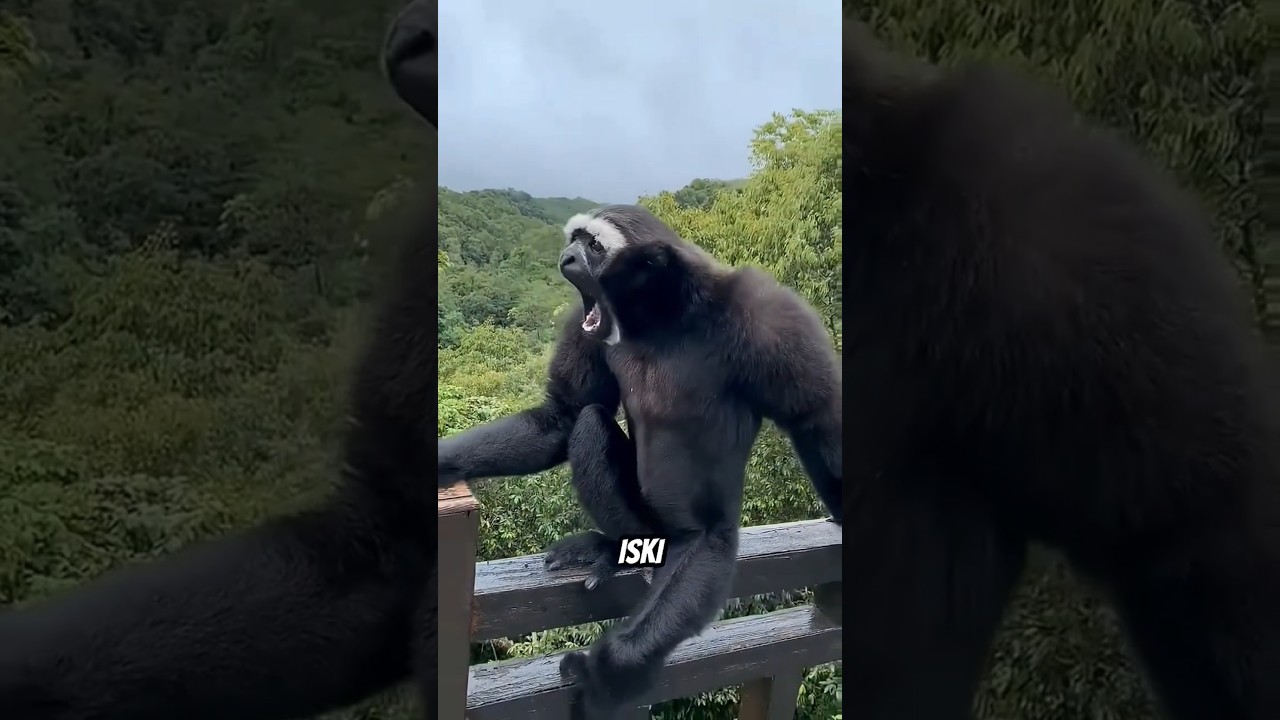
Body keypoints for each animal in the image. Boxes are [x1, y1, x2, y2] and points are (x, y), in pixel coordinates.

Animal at [436, 204, 844, 720]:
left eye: (593, 246)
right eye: (575, 239)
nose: (567, 257)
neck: (660, 319)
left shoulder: (767, 313)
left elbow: (816, 416)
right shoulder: (587, 322)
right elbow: (562, 416)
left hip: (702, 537)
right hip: (642, 521)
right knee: (589, 423)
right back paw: (614, 547)